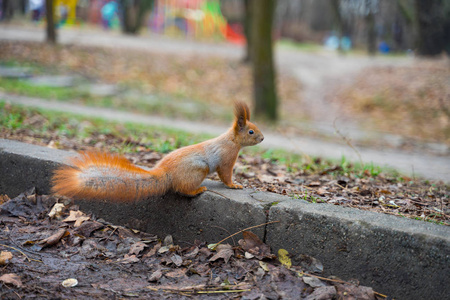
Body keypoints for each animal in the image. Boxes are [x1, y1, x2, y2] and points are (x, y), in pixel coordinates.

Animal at [51, 101, 264, 202]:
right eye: (251, 131)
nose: (262, 138)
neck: (232, 140)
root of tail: (165, 173)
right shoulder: (227, 158)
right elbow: (226, 174)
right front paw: (234, 185)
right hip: (198, 170)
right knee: (183, 190)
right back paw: (198, 190)